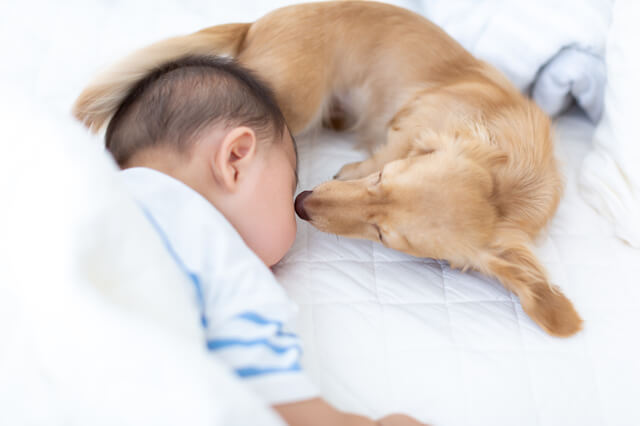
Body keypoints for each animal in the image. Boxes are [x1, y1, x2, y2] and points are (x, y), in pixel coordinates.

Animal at [72, 1, 584, 338]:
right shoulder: (407, 127)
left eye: (384, 237)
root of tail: (255, 26)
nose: (301, 202)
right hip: (294, 103)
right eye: (381, 180)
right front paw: (354, 164)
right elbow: (386, 144)